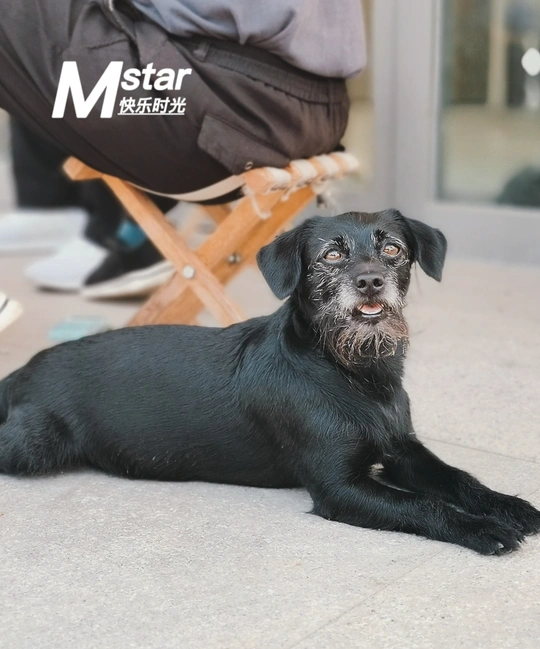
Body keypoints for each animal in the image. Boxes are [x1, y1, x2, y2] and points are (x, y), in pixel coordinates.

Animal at [1, 210, 539, 555]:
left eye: (392, 249)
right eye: (330, 256)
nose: (370, 281)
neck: (354, 371)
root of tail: (25, 369)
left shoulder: (401, 449)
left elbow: (458, 479)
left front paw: (508, 506)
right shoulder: (339, 487)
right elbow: (423, 504)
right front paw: (482, 528)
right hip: (34, 444)